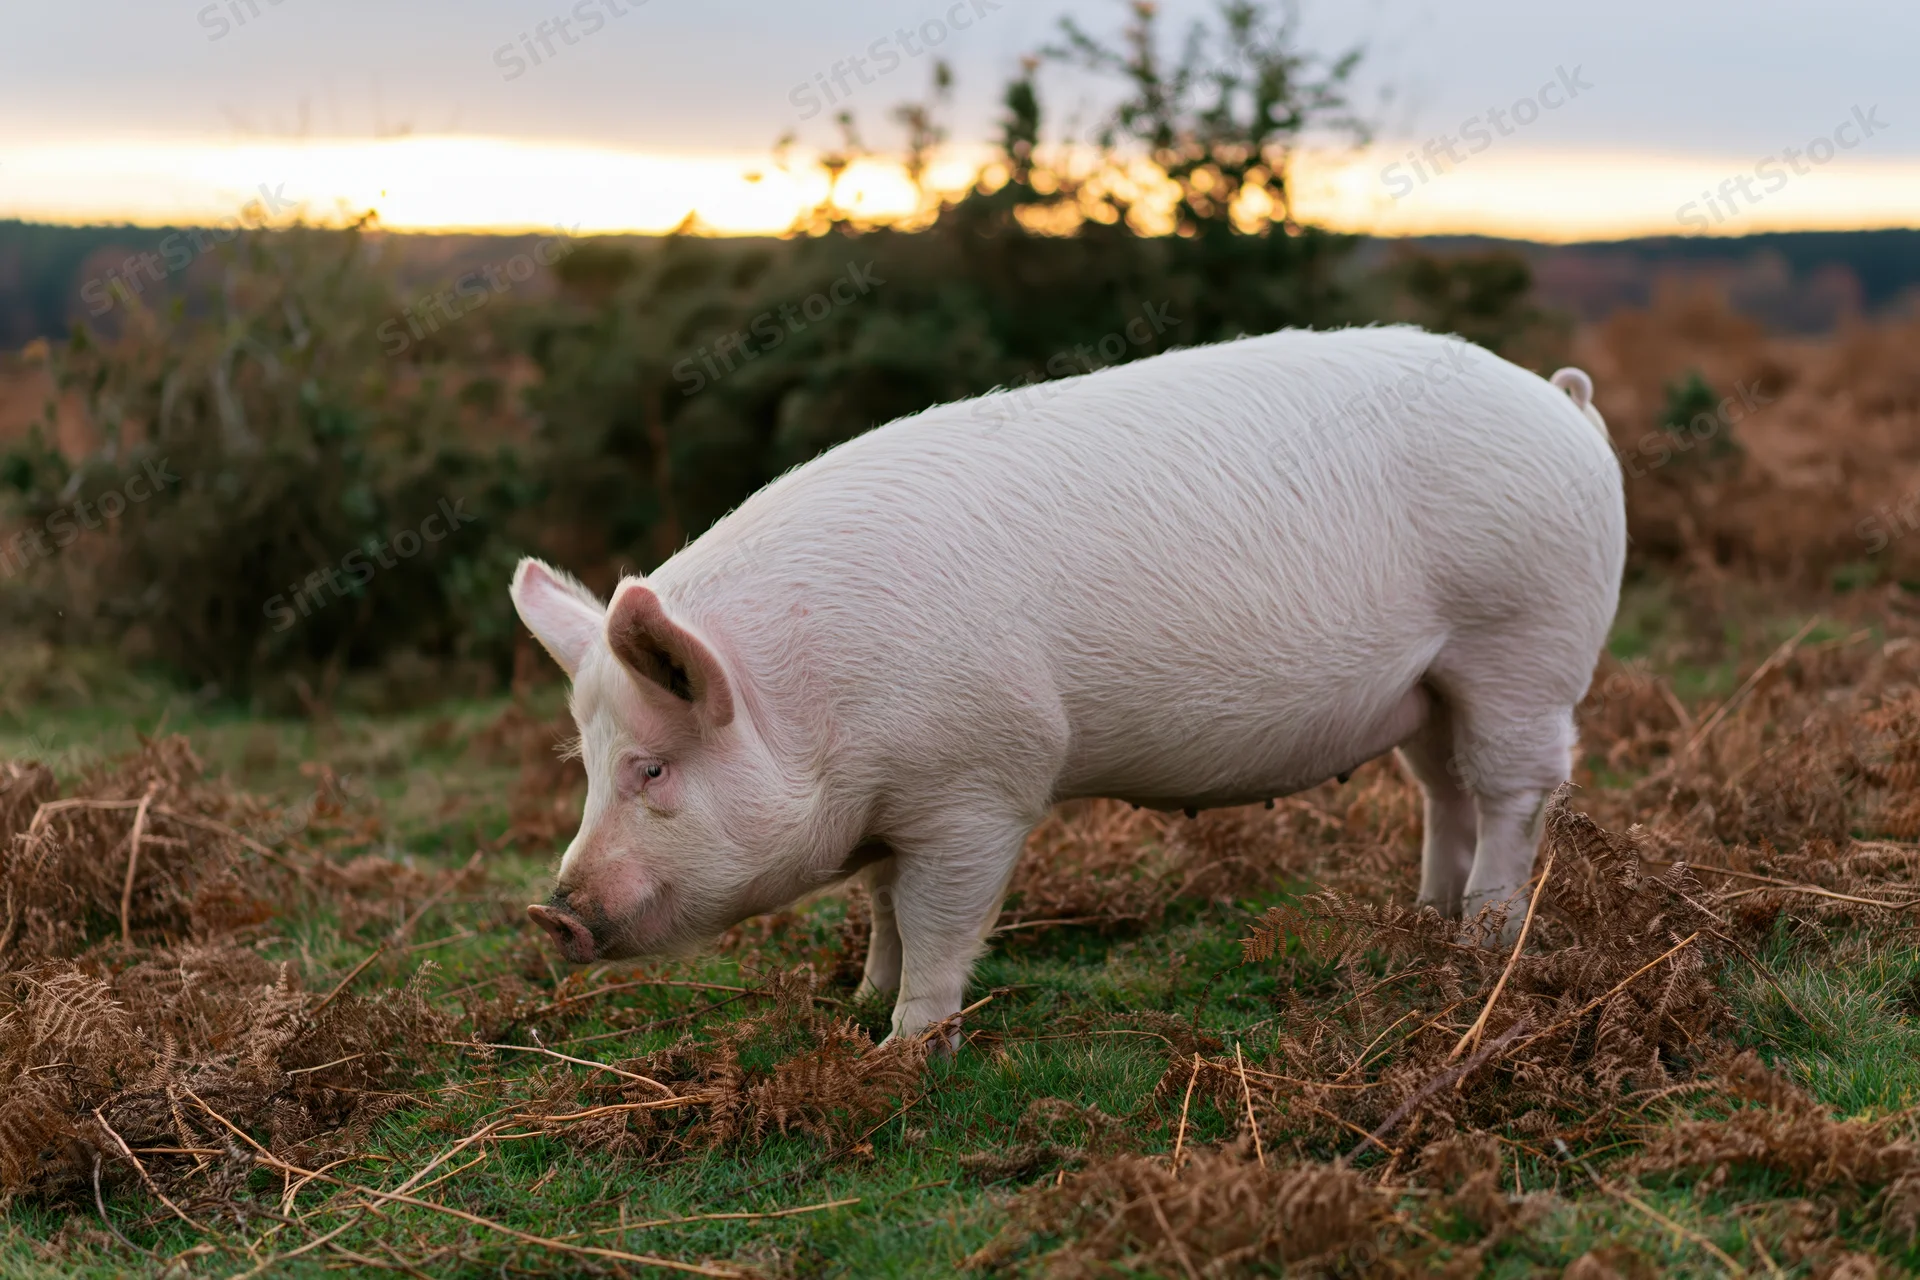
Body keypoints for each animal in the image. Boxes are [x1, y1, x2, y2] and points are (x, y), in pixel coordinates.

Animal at [512, 325, 1625, 1043]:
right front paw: (863, 1004)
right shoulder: (892, 807)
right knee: (1443, 786)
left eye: (654, 768)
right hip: (1433, 680)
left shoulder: (979, 787)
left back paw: (1481, 940)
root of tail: (1564, 403)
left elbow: (937, 924)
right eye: (588, 764)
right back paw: (1428, 919)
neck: (813, 705)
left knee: (1515, 790)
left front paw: (901, 1048)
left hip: (1522, 639)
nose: (550, 915)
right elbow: (880, 904)